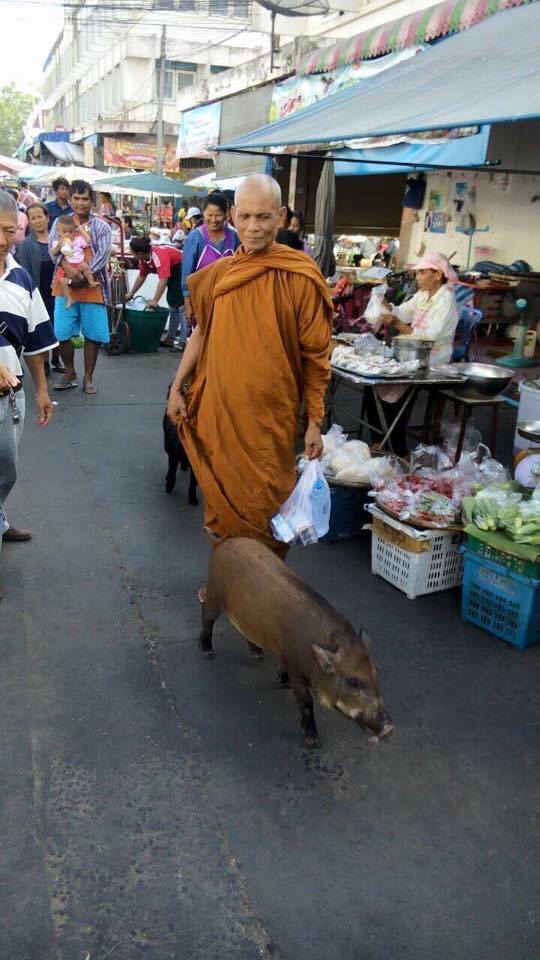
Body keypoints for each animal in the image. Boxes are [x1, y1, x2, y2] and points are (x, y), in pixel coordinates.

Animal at [198, 536, 392, 748]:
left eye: (375, 675)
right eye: (353, 682)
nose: (389, 729)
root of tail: (225, 543)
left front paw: (281, 681)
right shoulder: (294, 666)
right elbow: (306, 702)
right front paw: (313, 742)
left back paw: (258, 657)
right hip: (214, 594)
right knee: (207, 619)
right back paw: (207, 653)